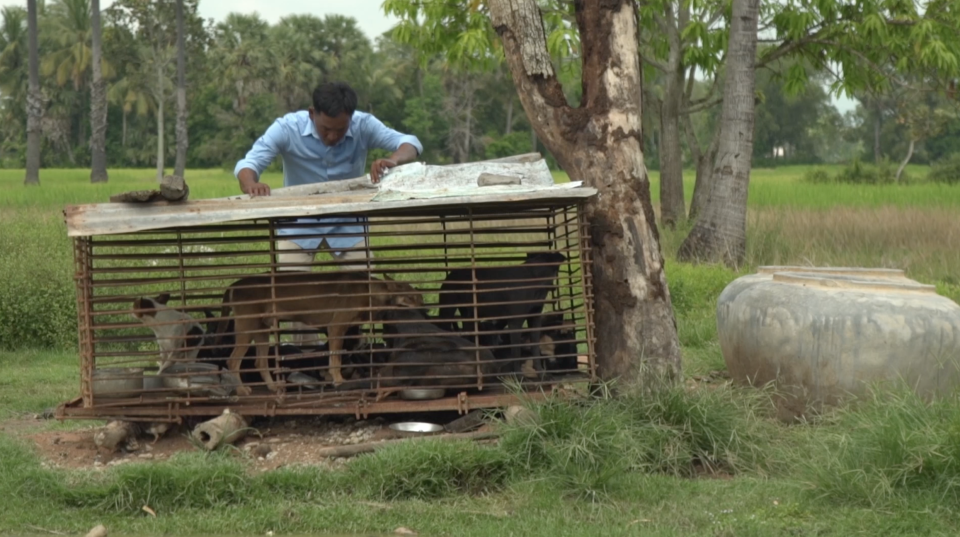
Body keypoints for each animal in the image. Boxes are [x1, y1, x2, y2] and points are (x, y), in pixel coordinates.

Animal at [216, 272, 422, 394]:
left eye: (419, 297)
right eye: (410, 297)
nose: (424, 306)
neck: (370, 291)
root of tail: (233, 285)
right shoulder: (336, 328)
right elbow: (335, 360)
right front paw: (338, 380)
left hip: (262, 331)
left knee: (260, 362)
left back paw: (273, 387)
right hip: (247, 328)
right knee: (233, 361)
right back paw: (242, 390)